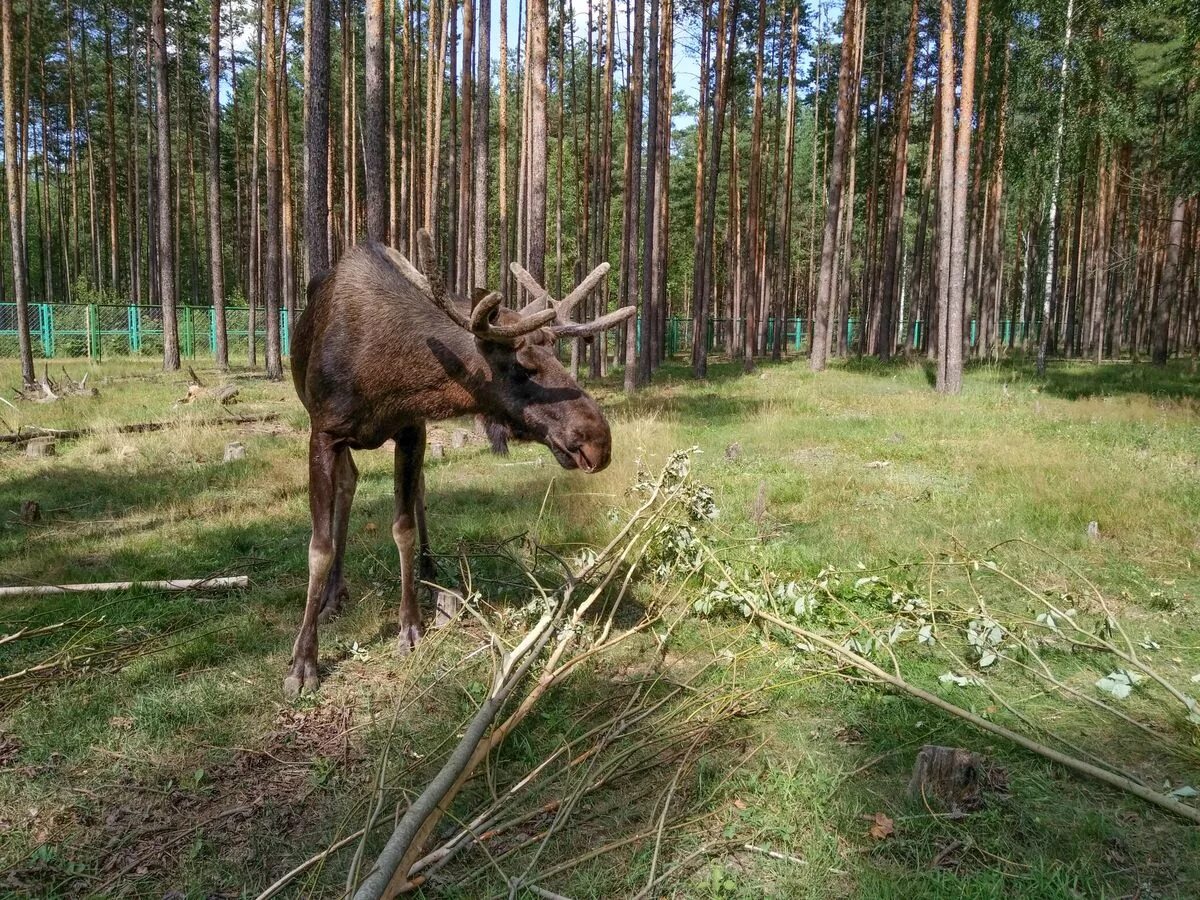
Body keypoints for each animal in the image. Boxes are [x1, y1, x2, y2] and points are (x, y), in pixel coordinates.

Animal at [284, 229, 633, 696]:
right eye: (522, 368)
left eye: (557, 355)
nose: (598, 441)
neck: (389, 375)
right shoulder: (323, 432)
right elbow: (318, 548)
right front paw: (304, 660)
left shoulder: (411, 427)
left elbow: (404, 528)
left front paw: (410, 625)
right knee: (349, 484)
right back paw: (332, 595)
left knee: (411, 490)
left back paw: (427, 572)